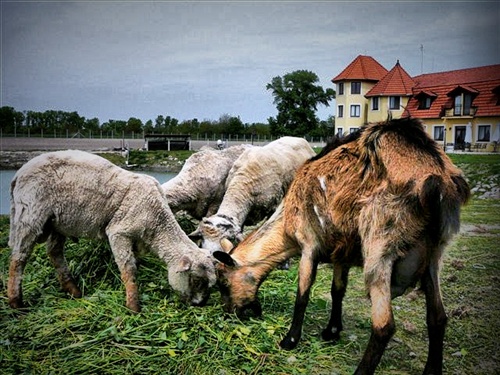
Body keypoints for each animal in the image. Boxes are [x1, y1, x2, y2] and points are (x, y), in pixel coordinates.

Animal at [7, 150, 215, 312]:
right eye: (197, 281)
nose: (200, 304)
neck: (157, 222)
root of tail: (18, 174)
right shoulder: (118, 232)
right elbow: (128, 269)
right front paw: (133, 307)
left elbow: (134, 264)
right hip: (30, 215)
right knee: (19, 258)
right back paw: (16, 302)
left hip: (58, 222)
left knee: (54, 253)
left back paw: (74, 291)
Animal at [214, 118, 468, 375]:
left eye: (223, 283)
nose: (229, 313)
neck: (286, 222)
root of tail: (437, 180)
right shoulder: (341, 252)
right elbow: (338, 290)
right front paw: (332, 331)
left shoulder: (309, 244)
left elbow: (303, 293)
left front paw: (290, 340)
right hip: (434, 254)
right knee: (437, 317)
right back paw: (432, 369)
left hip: (380, 248)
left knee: (384, 325)